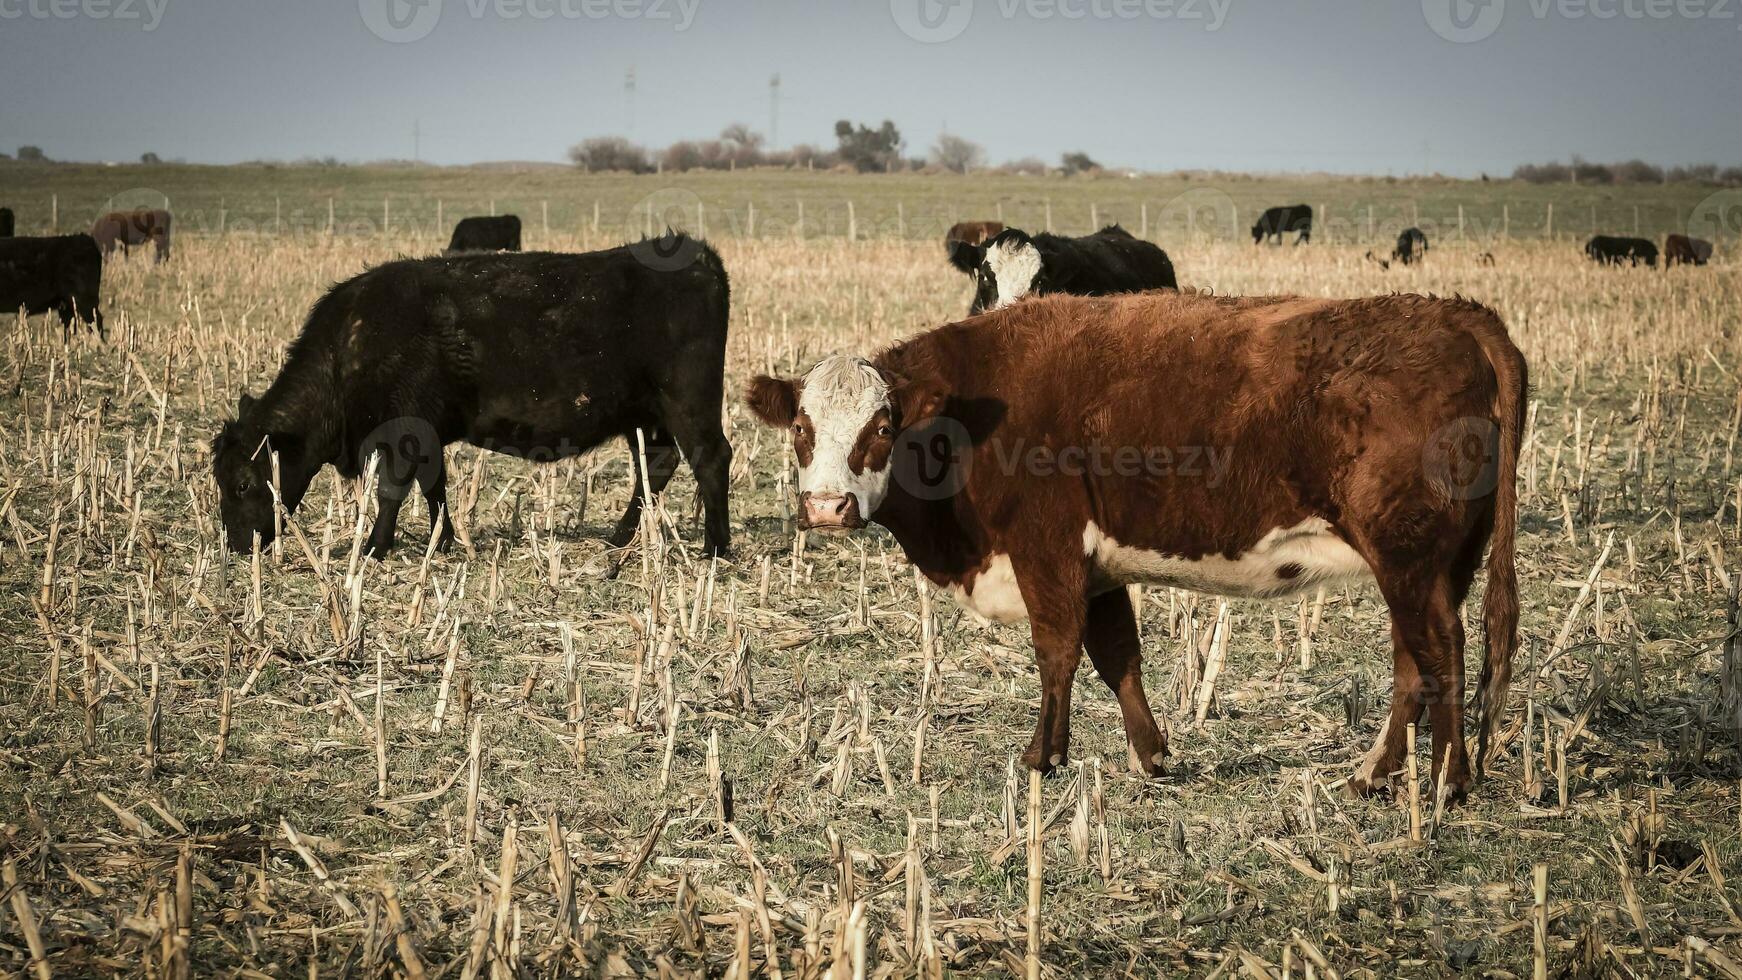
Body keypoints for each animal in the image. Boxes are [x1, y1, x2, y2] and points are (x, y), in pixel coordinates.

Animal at [214, 231, 731, 560]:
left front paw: (374, 548)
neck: (352, 342)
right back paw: (620, 538)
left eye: (241, 483)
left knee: (710, 459)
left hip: (688, 403)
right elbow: (435, 486)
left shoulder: (403, 431)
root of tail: (697, 254)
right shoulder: (427, 435)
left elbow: (392, 490)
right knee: (656, 465)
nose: (237, 545)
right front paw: (442, 541)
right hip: (645, 415)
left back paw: (715, 548)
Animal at [749, 288, 1525, 797]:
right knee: (1413, 660)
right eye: (802, 429)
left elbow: (1057, 651)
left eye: (882, 428)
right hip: (1431, 563)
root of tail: (1460, 315)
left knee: (1440, 649)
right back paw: (1377, 772)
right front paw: (1150, 754)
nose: (826, 508)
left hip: (1408, 554)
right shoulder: (1098, 568)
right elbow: (1116, 655)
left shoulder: (1046, 548)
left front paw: (1042, 757)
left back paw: (1448, 778)